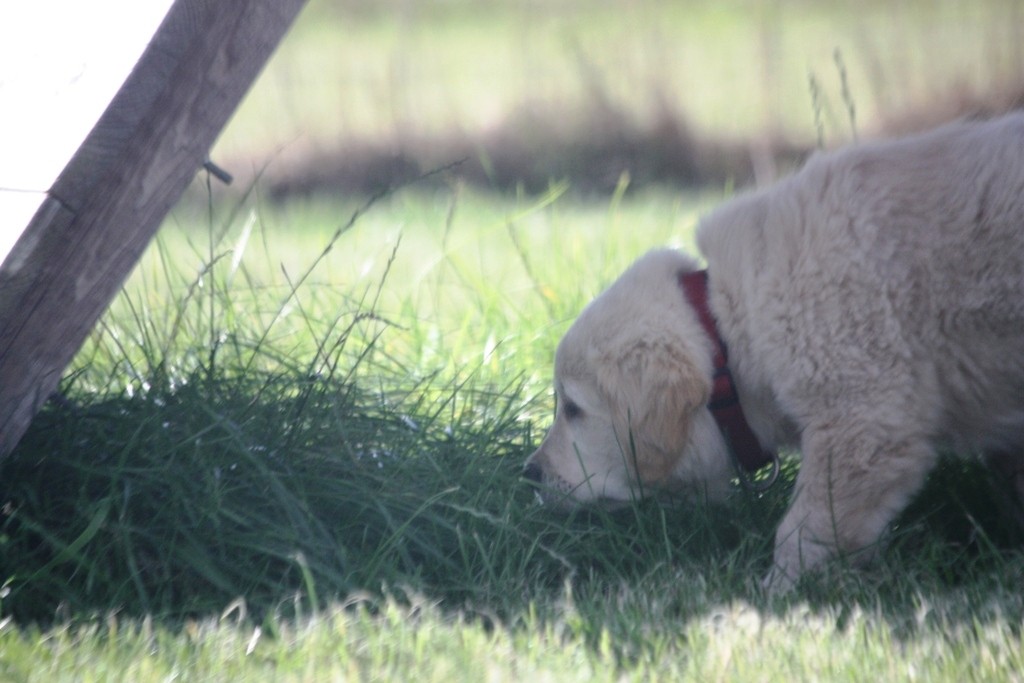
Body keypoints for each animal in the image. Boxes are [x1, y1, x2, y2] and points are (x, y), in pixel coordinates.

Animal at [524, 114, 1024, 589]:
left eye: (573, 408)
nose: (528, 473)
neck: (724, 326)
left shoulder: (861, 419)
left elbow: (811, 523)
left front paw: (781, 591)